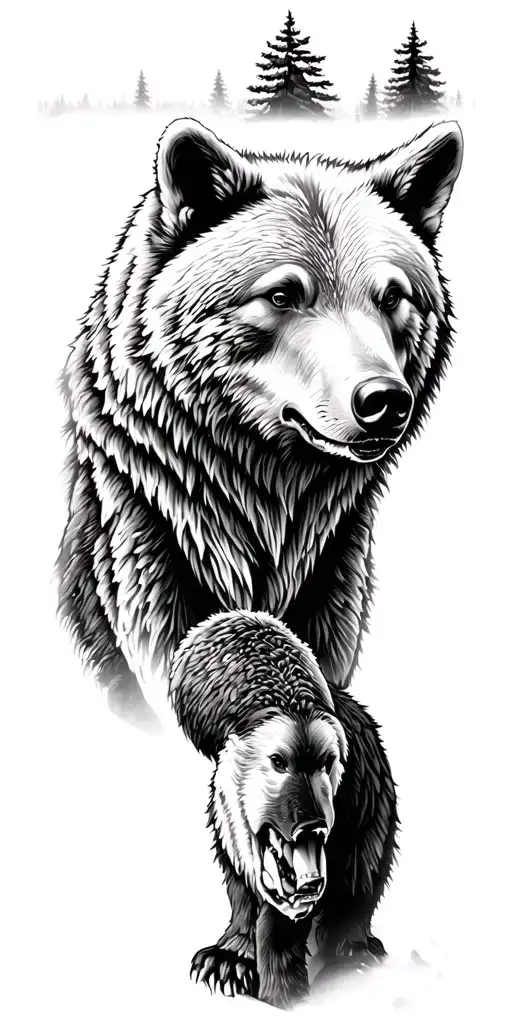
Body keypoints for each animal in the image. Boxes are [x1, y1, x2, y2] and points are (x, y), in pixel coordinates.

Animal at [169, 609, 398, 1010]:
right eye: (278, 761)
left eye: (328, 761)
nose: (311, 825)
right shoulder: (229, 820)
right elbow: (242, 887)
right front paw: (228, 962)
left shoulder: (359, 794)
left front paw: (284, 987)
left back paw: (353, 957)